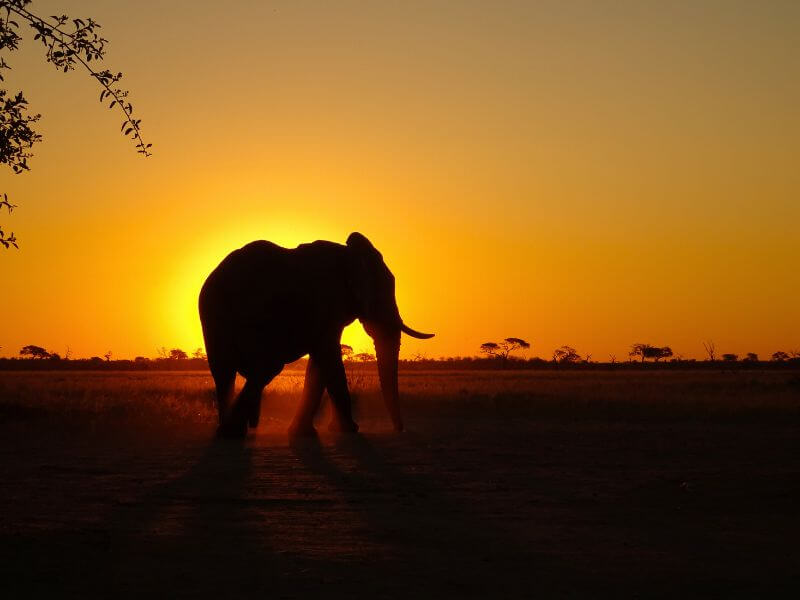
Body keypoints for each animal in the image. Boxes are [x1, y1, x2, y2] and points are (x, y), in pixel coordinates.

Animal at [199, 232, 434, 438]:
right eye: (383, 291)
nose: (400, 430)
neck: (348, 255)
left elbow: (319, 363)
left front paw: (307, 433)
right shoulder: (327, 302)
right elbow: (329, 356)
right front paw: (350, 430)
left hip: (214, 319)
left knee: (224, 372)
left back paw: (230, 431)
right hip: (254, 318)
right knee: (265, 368)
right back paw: (231, 432)